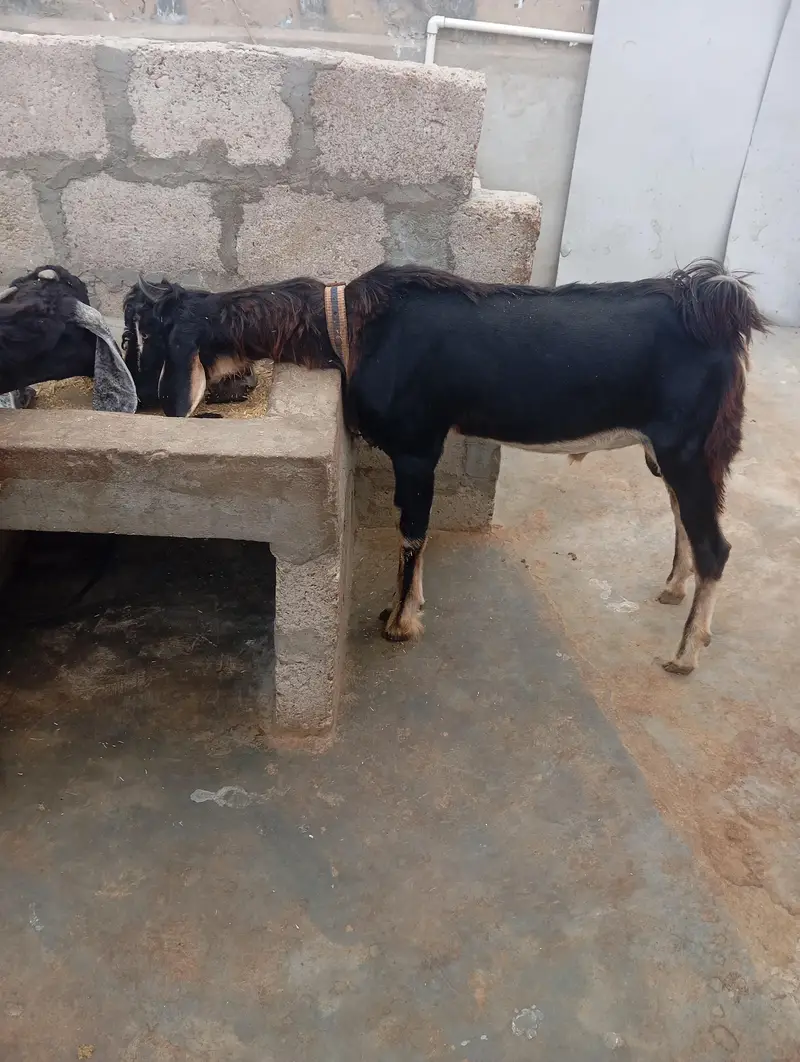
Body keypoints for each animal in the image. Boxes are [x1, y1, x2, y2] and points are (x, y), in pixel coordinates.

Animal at [132, 260, 767, 675]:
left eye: (157, 341)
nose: (159, 408)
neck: (351, 327)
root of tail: (716, 306)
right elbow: (416, 529)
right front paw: (406, 608)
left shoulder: (417, 446)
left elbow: (412, 531)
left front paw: (398, 622)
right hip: (672, 450)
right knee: (684, 519)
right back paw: (673, 587)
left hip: (688, 447)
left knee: (716, 546)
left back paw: (685, 653)